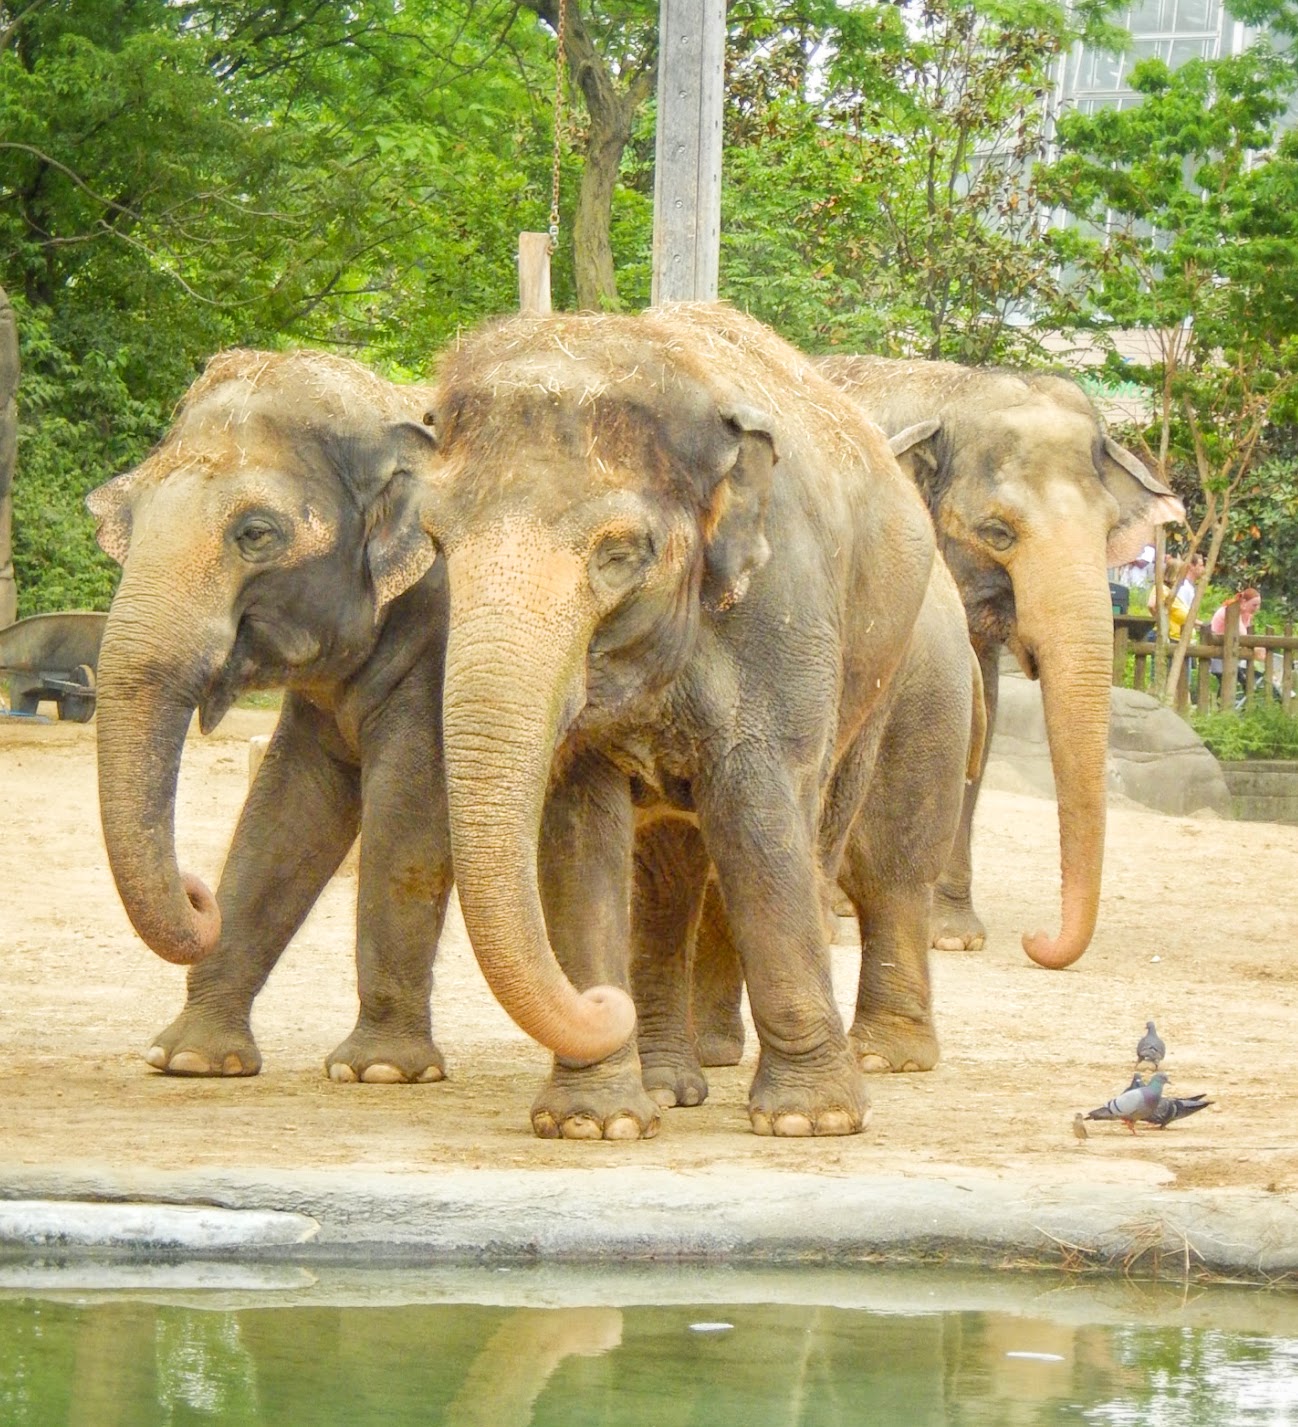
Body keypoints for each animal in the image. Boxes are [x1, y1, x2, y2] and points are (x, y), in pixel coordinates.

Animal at [88, 348, 452, 1084]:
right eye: (127, 525)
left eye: (256, 534)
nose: (197, 891)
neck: (388, 407)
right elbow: (287, 808)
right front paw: (191, 1058)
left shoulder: (441, 632)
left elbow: (411, 810)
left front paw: (379, 1070)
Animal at [404, 302, 981, 1139]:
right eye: (438, 542)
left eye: (618, 554)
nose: (596, 1000)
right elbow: (578, 830)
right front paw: (594, 1122)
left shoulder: (786, 610)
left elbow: (756, 809)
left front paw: (809, 1121)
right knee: (670, 872)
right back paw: (671, 1081)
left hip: (882, 667)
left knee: (847, 843)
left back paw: (880, 1059)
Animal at [688, 354, 1186, 1070]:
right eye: (998, 533)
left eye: (1106, 530)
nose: (1038, 941)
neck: (956, 390)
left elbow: (982, 718)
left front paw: (954, 936)